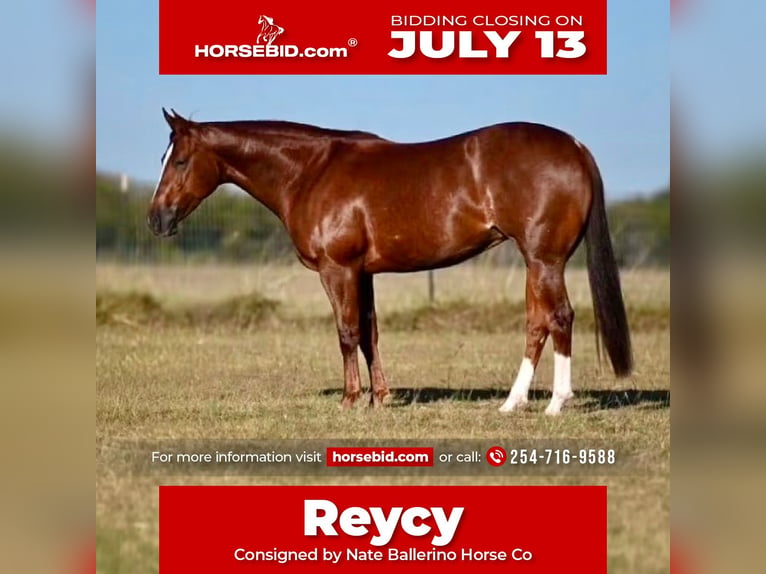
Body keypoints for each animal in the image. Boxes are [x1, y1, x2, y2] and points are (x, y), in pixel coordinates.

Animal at [148, 109, 632, 415]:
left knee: (560, 318)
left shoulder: (338, 269)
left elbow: (347, 333)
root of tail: (574, 146)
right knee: (537, 324)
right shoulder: (363, 273)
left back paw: (556, 403)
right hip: (536, 263)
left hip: (545, 260)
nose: (157, 219)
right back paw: (512, 403)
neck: (311, 170)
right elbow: (370, 333)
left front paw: (349, 400)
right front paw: (379, 397)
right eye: (164, 158)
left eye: (182, 160)